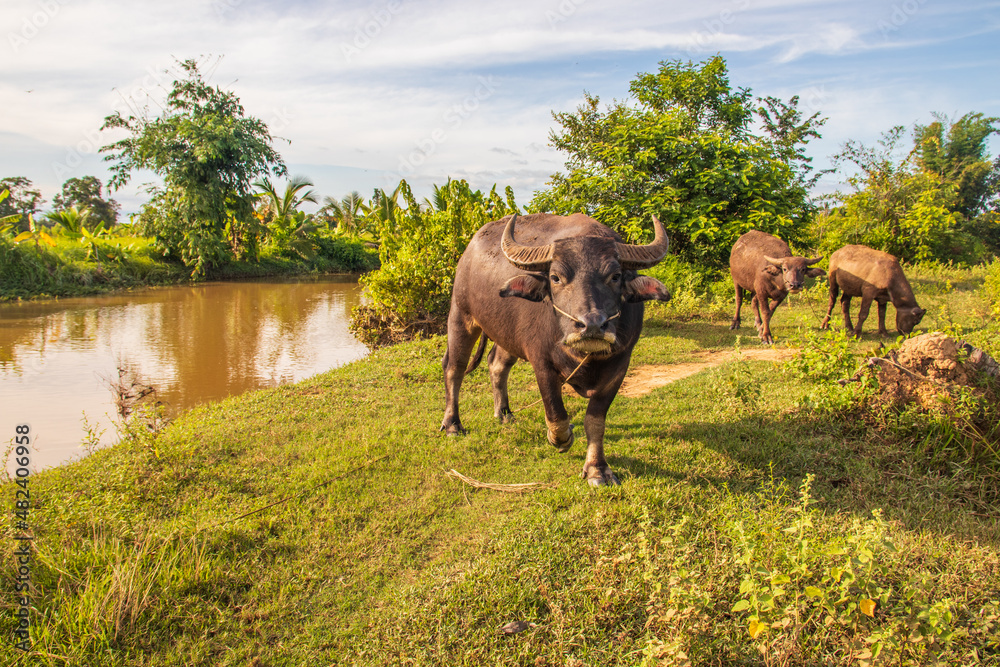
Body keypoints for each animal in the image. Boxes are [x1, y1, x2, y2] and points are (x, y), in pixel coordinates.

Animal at [440, 213, 671, 486]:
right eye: (556, 278)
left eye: (615, 276)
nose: (592, 325)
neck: (585, 357)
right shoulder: (541, 362)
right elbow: (556, 414)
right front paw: (560, 439)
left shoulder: (620, 366)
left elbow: (595, 421)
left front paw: (597, 469)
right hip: (461, 315)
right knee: (454, 369)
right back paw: (452, 424)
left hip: (507, 334)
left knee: (497, 364)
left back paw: (504, 412)